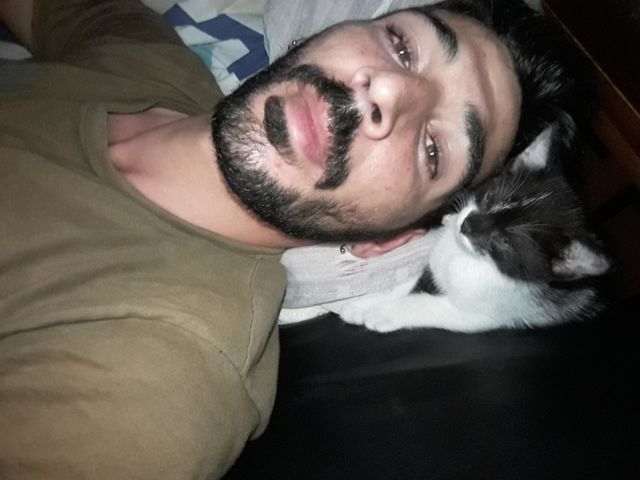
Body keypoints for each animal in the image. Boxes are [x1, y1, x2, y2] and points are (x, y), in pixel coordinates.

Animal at [339, 127, 611, 333]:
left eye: (505, 241)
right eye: (489, 198)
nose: (466, 225)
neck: (464, 256)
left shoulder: (488, 312)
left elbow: (427, 306)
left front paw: (382, 313)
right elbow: (410, 280)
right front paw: (363, 304)